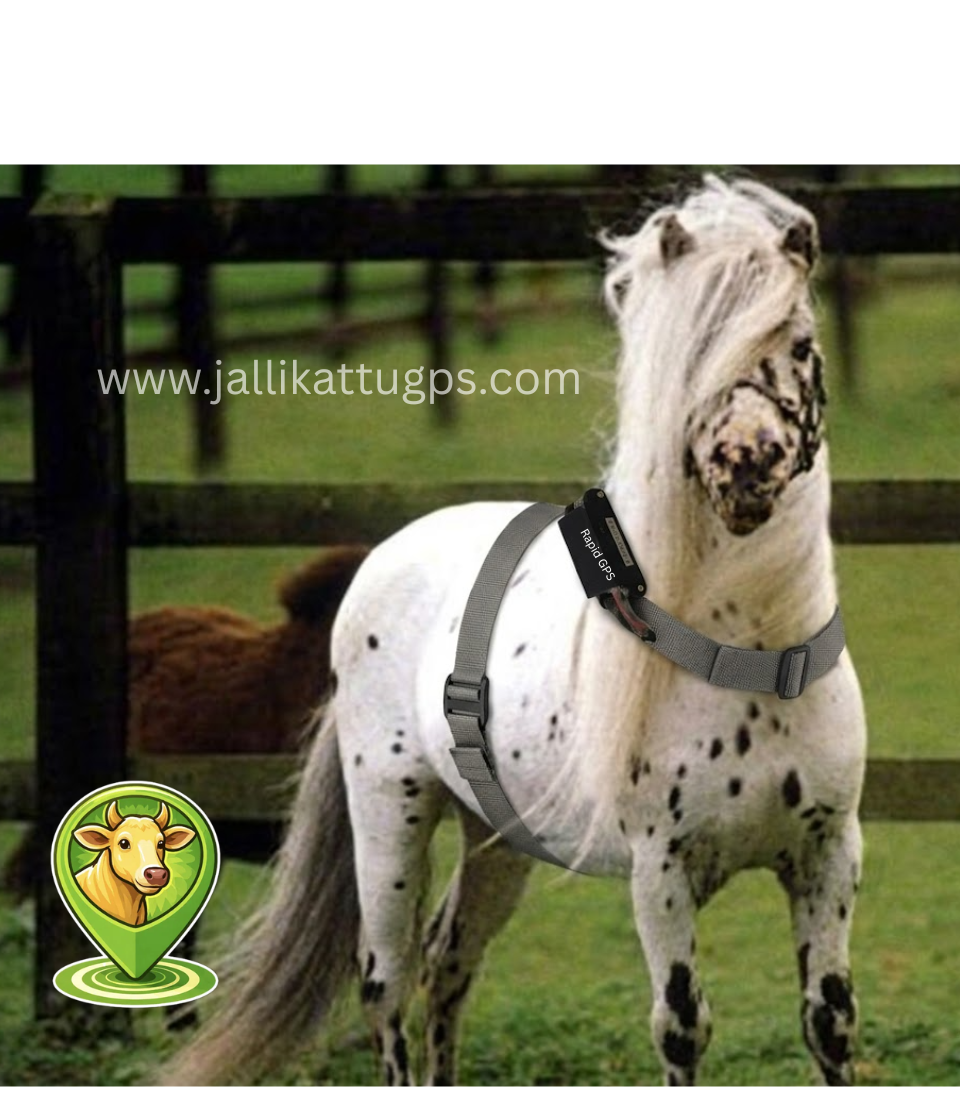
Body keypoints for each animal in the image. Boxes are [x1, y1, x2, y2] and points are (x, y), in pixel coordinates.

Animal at [166, 177, 867, 1087]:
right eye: (690, 355)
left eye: (800, 341)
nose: (745, 462)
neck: (750, 658)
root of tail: (383, 558)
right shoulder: (661, 872)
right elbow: (682, 1027)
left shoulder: (827, 855)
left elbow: (829, 1022)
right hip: (389, 821)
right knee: (386, 984)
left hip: (497, 842)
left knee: (447, 964)